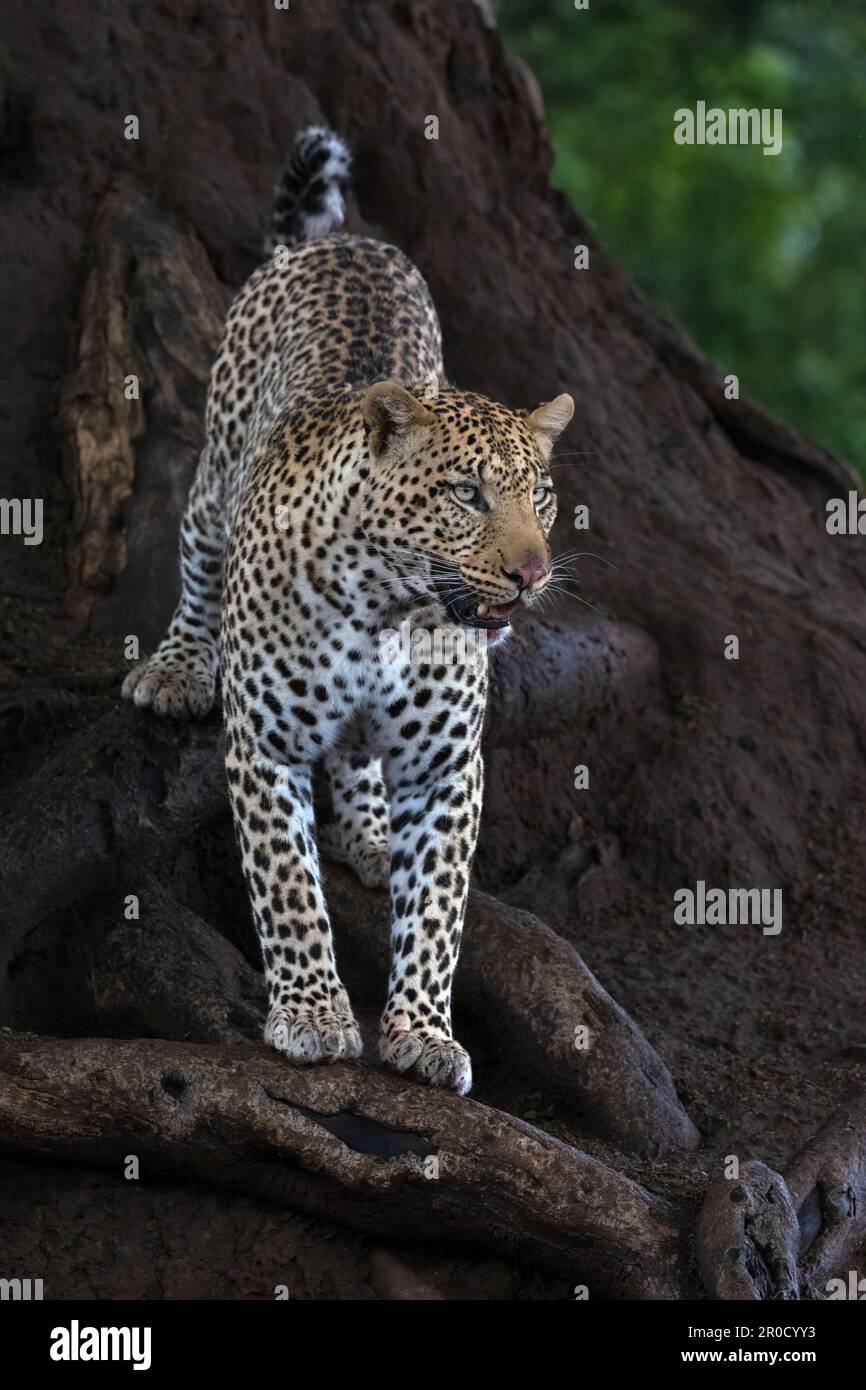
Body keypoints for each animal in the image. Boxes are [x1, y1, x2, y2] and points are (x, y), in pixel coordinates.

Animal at [120, 125, 569, 1089]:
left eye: (542, 497)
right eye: (468, 494)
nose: (532, 573)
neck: (388, 611)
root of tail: (342, 240)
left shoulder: (448, 768)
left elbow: (437, 910)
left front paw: (424, 1033)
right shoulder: (266, 744)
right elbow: (287, 885)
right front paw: (315, 1015)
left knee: (362, 755)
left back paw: (369, 830)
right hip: (217, 469)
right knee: (197, 559)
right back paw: (175, 669)